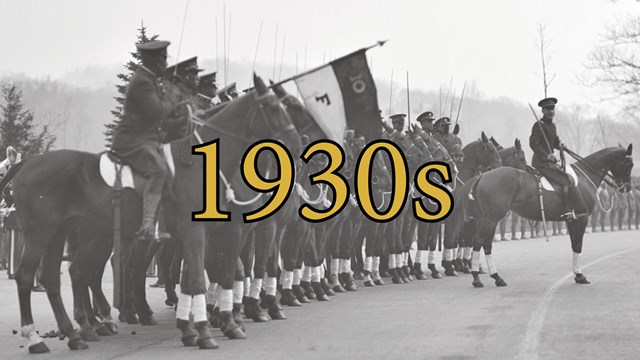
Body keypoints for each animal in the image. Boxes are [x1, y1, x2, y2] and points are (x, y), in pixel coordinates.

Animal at [444, 145, 636, 288]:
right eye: (629, 164)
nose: (627, 187)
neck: (582, 178)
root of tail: (482, 175)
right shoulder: (581, 218)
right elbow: (578, 245)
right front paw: (580, 275)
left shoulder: (571, 220)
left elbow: (574, 244)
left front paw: (577, 274)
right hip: (490, 219)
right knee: (480, 242)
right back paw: (482, 277)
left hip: (486, 219)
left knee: (482, 243)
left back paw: (491, 277)